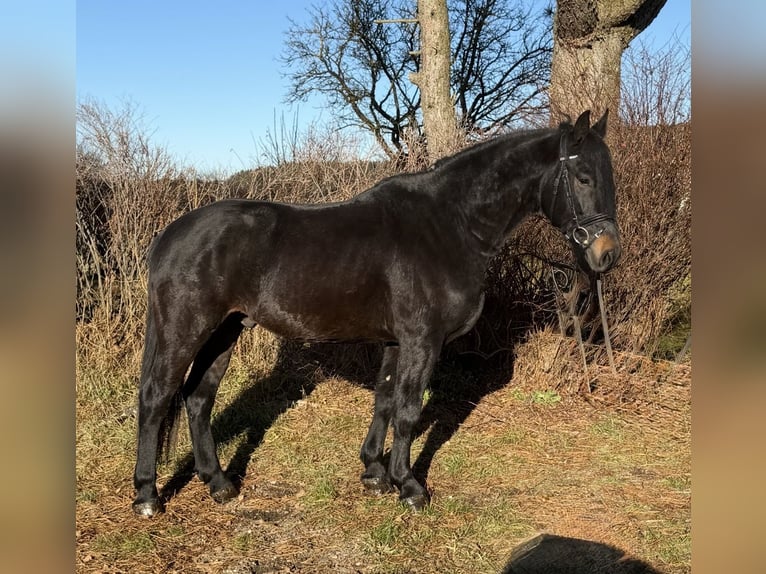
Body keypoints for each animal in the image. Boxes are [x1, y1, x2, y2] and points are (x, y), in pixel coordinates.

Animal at [132, 110, 621, 517]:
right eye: (582, 176)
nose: (607, 254)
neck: (450, 225)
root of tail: (170, 235)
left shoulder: (394, 340)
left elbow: (385, 401)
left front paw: (374, 473)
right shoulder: (423, 340)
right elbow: (408, 409)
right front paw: (409, 486)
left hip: (225, 331)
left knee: (198, 397)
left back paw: (218, 483)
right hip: (185, 329)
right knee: (156, 398)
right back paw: (147, 496)